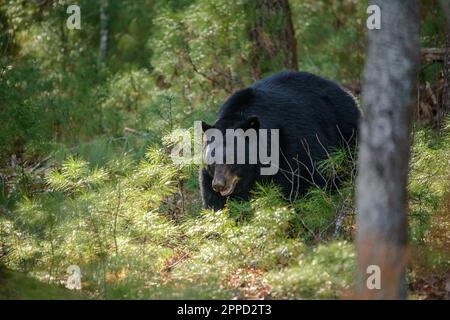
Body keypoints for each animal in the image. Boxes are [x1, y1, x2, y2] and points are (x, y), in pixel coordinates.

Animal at [200, 70, 358, 211]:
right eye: (212, 161)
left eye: (233, 158)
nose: (219, 185)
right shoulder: (210, 178)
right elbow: (213, 200)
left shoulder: (295, 147)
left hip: (346, 133)